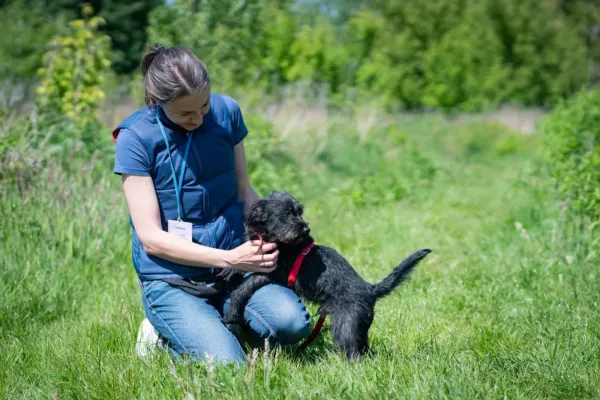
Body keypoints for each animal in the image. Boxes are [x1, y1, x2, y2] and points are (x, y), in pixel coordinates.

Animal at [221, 191, 432, 360]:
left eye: (299, 212)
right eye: (287, 213)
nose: (306, 228)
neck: (282, 242)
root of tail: (370, 290)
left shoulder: (272, 271)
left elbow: (245, 285)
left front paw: (232, 312)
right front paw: (228, 267)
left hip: (346, 324)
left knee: (354, 352)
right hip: (359, 326)